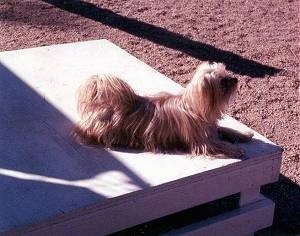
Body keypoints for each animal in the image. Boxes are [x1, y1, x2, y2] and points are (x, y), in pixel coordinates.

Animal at [72, 62, 253, 159]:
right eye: (223, 81)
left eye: (226, 72)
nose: (235, 79)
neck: (196, 105)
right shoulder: (203, 143)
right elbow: (220, 144)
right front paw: (236, 150)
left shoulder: (212, 129)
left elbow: (226, 129)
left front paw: (244, 134)